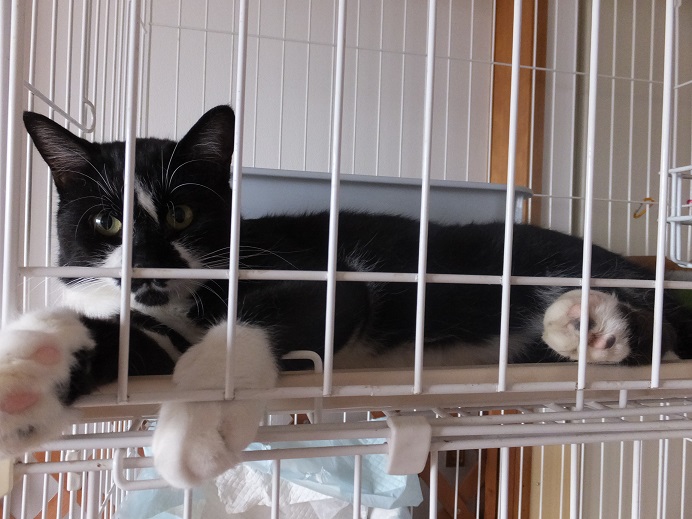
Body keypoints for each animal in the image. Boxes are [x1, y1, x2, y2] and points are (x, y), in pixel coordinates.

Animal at [0, 104, 690, 488]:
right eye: (106, 223)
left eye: (182, 213)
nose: (149, 263)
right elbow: (132, 340)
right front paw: (33, 367)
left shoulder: (330, 278)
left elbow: (261, 322)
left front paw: (200, 418)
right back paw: (577, 328)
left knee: (669, 332)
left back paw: (597, 323)